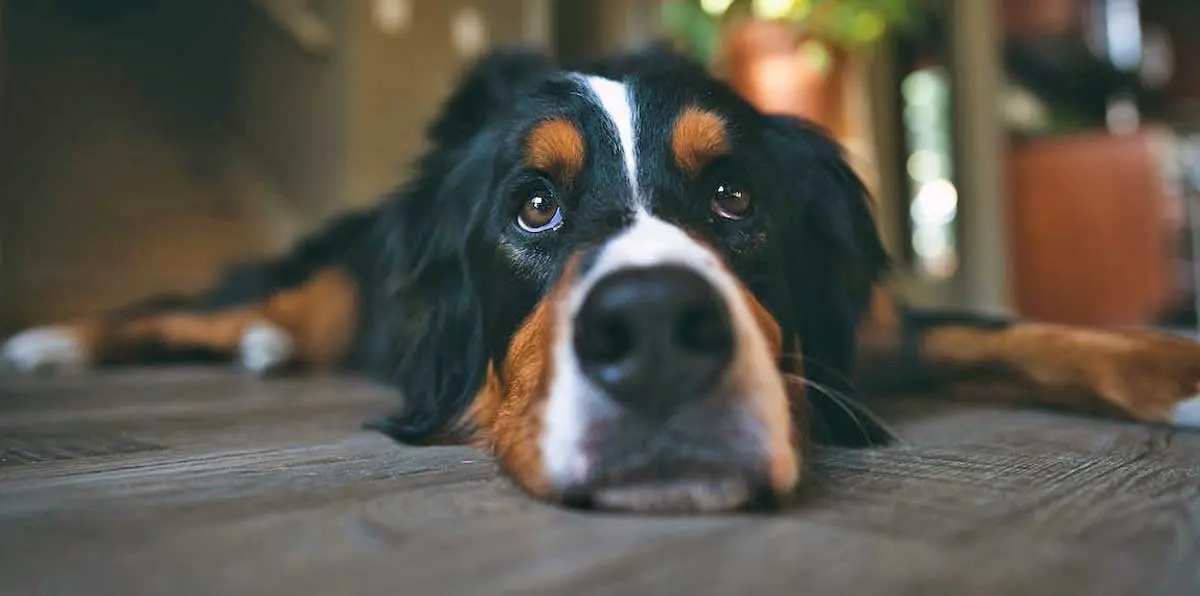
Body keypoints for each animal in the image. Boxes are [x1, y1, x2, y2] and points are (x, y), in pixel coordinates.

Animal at [2, 46, 1200, 510]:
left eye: (735, 198)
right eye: (532, 206)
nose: (659, 329)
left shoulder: (877, 329)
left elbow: (1026, 330)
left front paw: (1177, 367)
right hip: (319, 286)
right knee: (204, 309)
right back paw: (55, 342)